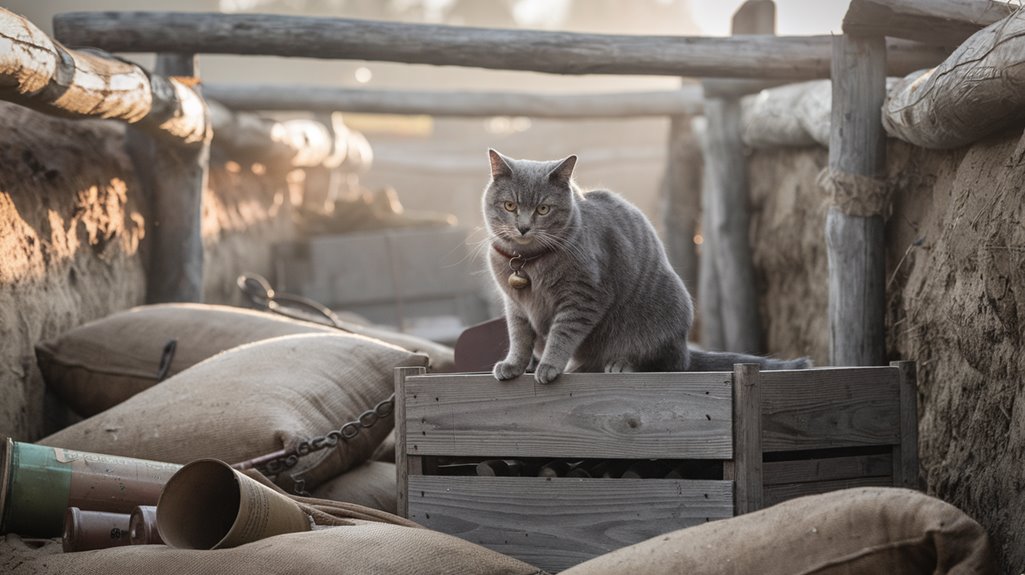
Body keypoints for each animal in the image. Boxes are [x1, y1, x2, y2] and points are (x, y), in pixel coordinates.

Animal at [479, 148, 807, 381]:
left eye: (543, 209)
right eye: (510, 205)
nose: (523, 227)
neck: (527, 262)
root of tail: (686, 350)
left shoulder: (583, 296)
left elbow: (561, 335)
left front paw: (548, 366)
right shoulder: (515, 306)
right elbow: (519, 338)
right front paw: (514, 365)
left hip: (665, 315)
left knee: (664, 364)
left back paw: (620, 365)